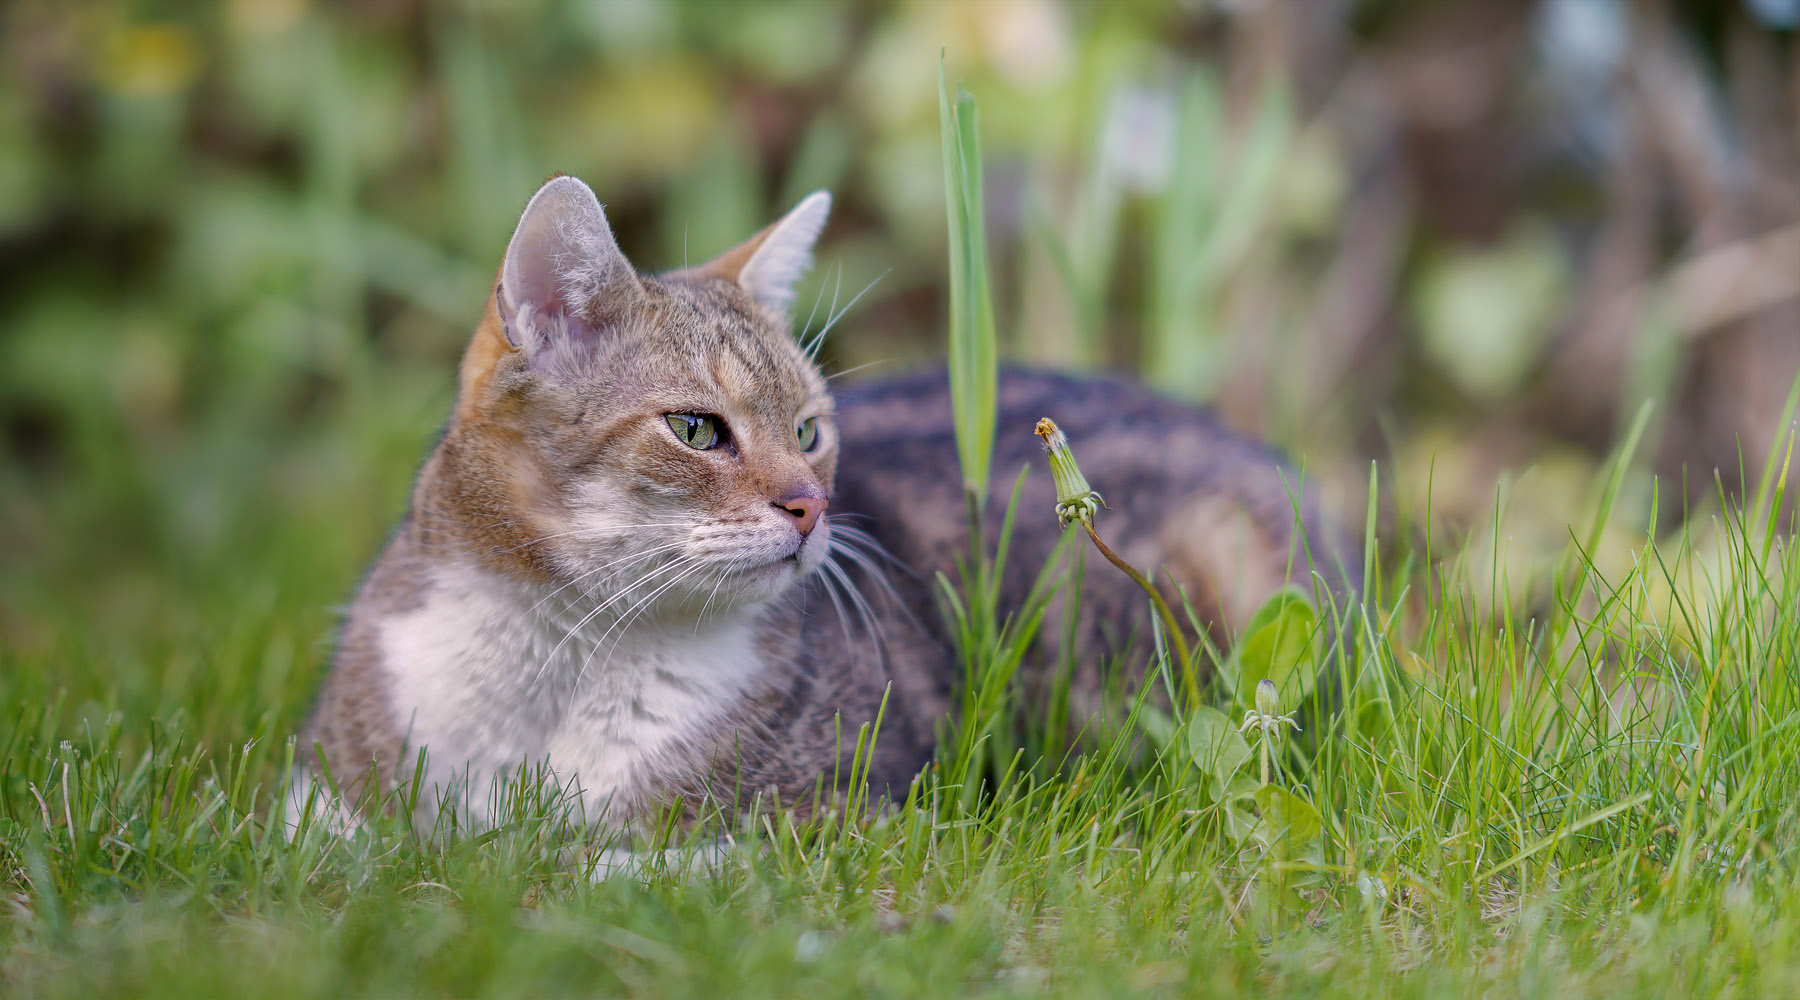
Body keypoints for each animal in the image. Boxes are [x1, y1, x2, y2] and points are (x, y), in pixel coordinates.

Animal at [288, 175, 1353, 838]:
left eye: (807, 431)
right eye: (696, 429)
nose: (812, 508)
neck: (559, 658)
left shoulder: (838, 814)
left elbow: (619, 858)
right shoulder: (318, 796)